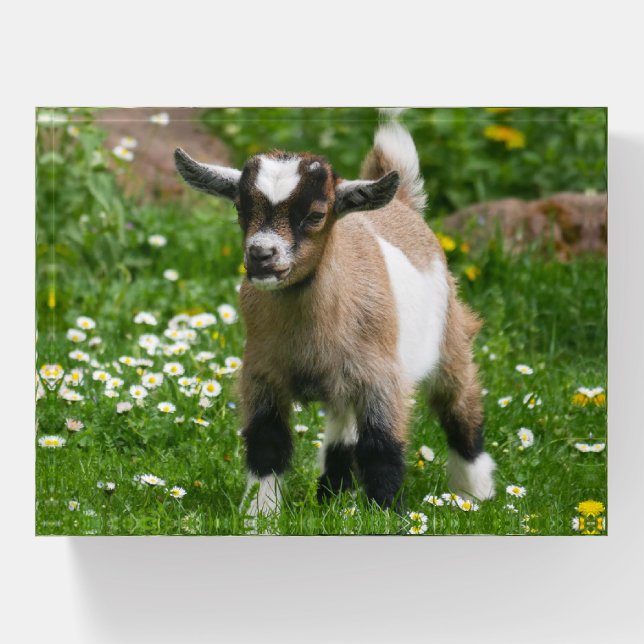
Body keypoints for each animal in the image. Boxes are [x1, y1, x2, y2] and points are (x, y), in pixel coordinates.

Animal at [174, 119, 496, 515]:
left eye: (315, 215)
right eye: (239, 209)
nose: (261, 255)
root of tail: (403, 204)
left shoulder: (382, 379)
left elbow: (382, 448)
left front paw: (386, 515)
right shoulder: (262, 373)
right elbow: (267, 443)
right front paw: (258, 514)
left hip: (450, 337)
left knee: (460, 405)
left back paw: (474, 493)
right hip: (344, 382)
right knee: (343, 428)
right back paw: (332, 493)